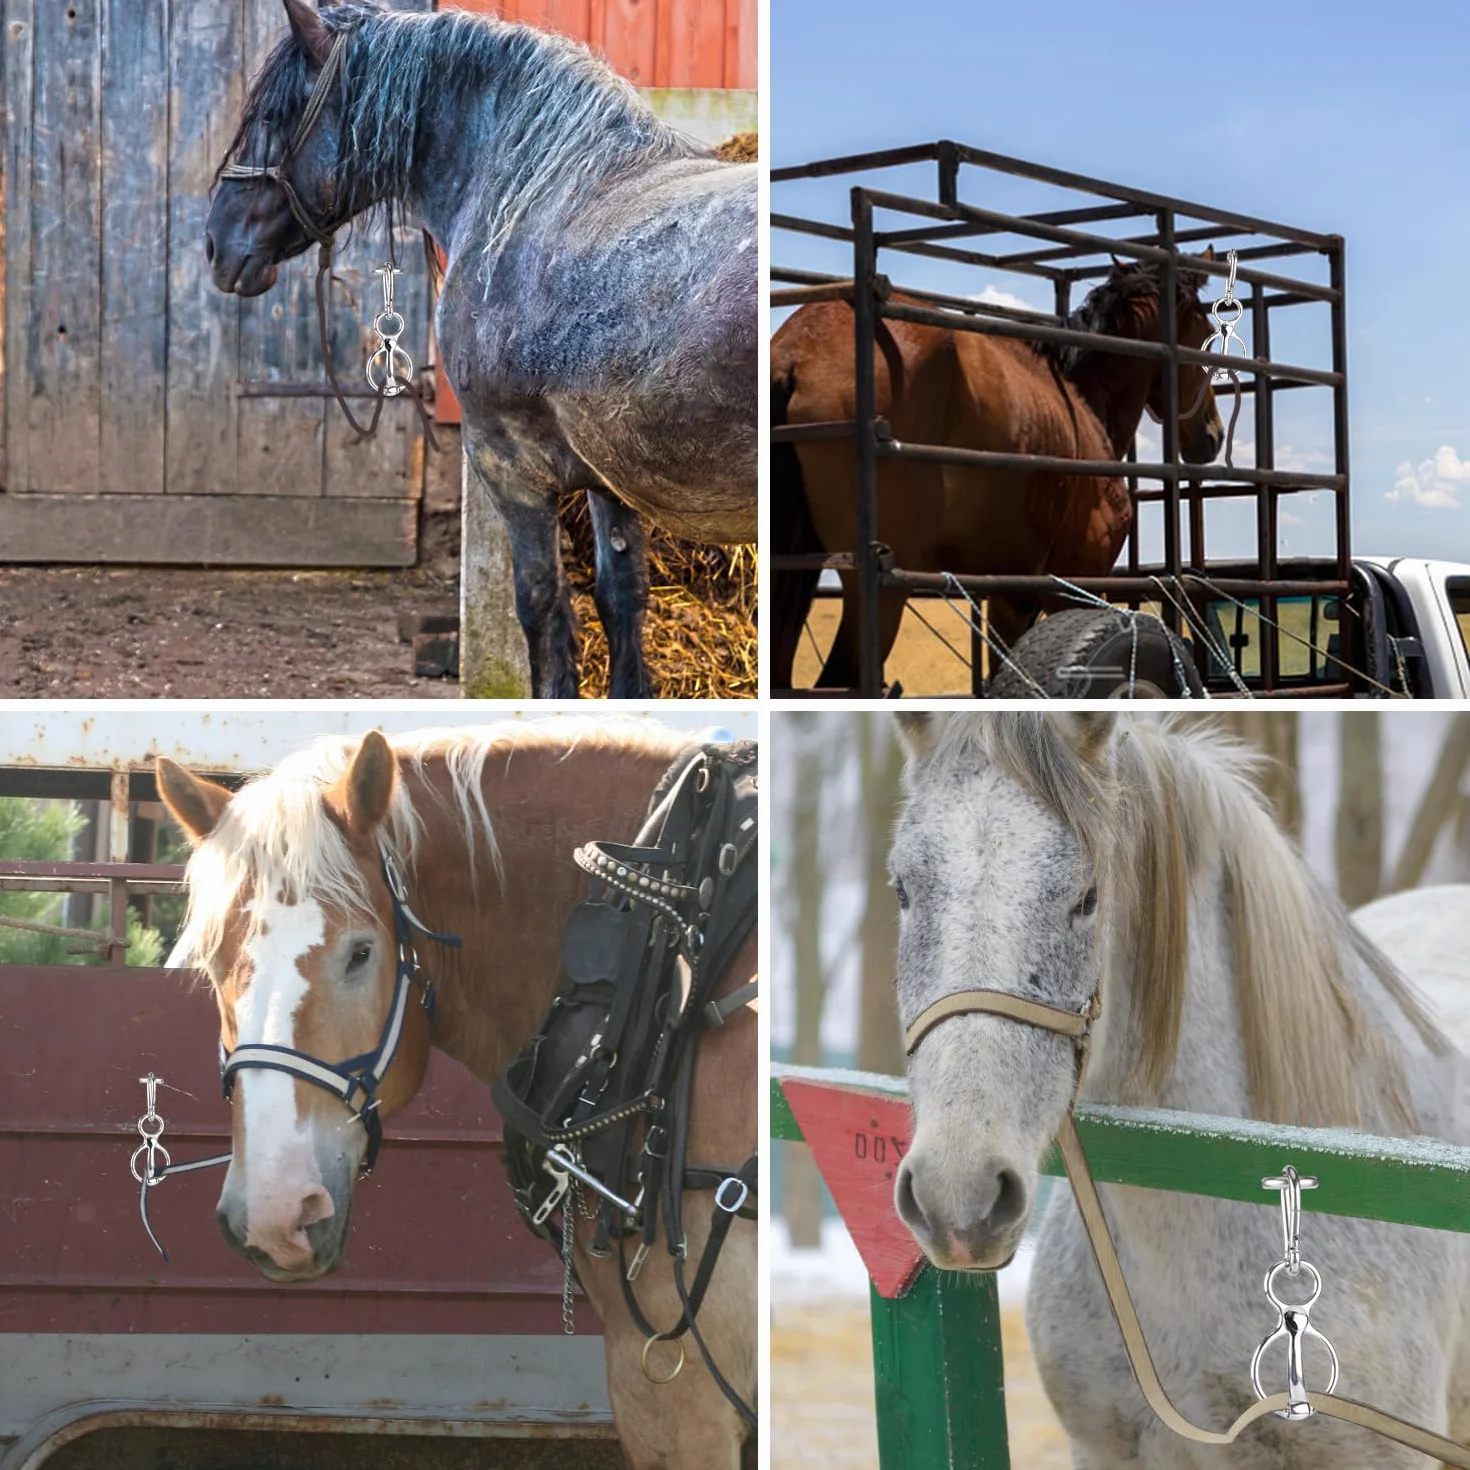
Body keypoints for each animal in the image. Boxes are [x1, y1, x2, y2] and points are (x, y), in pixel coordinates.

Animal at [205, 0, 756, 698]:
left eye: (271, 119)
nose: (215, 243)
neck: (536, 194)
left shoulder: (508, 465)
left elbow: (544, 609)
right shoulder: (608, 473)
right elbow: (622, 600)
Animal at [771, 258, 1226, 690]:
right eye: (1206, 333)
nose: (1214, 433)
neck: (1080, 405)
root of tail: (798, 354)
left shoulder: (1012, 594)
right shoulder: (1074, 582)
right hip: (884, 593)